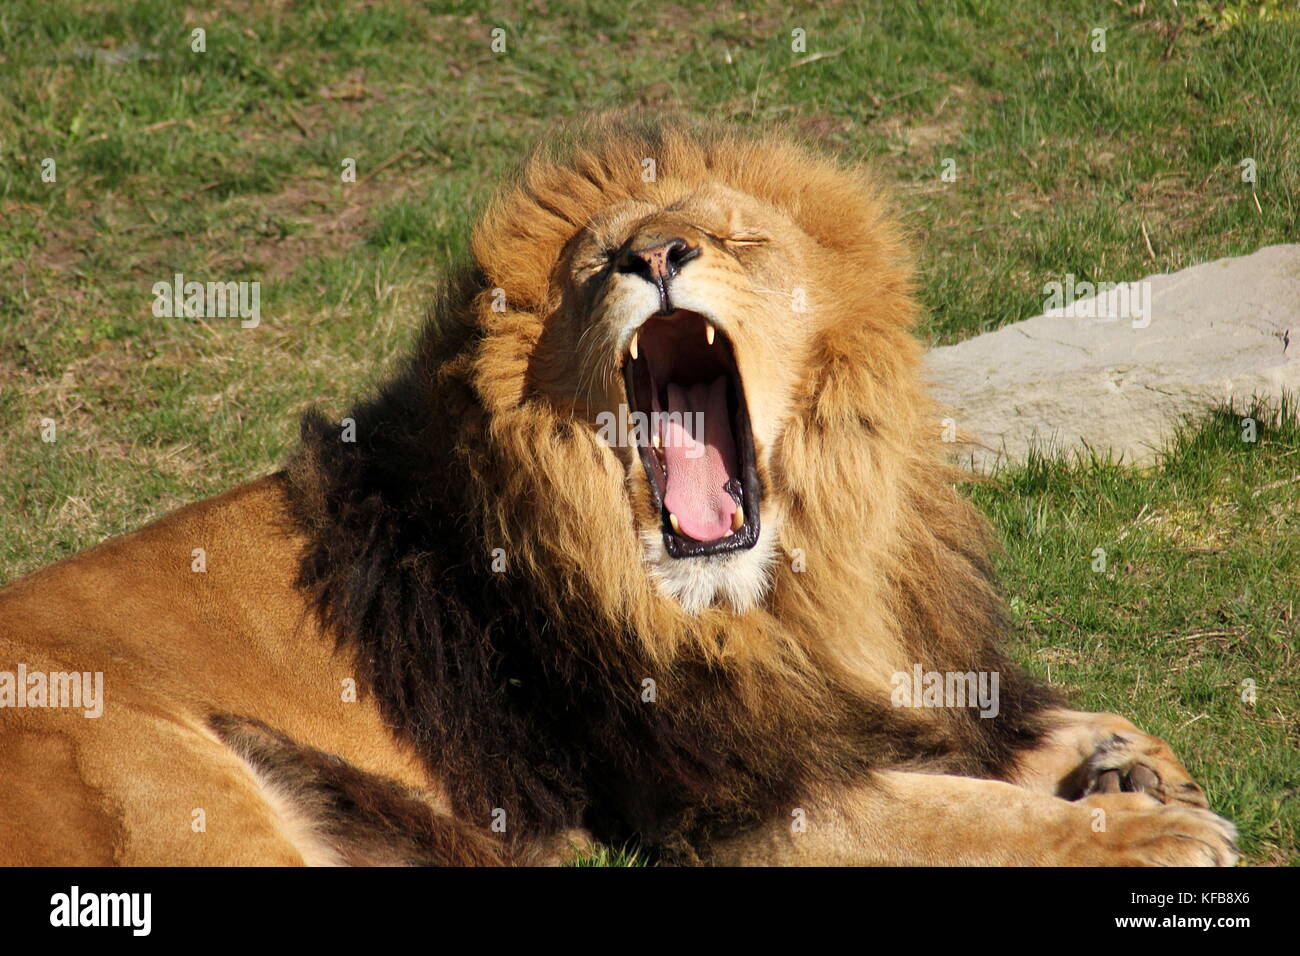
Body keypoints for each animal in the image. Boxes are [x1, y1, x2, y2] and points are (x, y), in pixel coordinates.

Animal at [0, 115, 1238, 866]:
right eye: (597, 264)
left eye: (732, 236)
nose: (657, 257)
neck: (770, 598)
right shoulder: (722, 801)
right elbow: (947, 811)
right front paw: (1136, 830)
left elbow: (965, 722)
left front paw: (1119, 755)